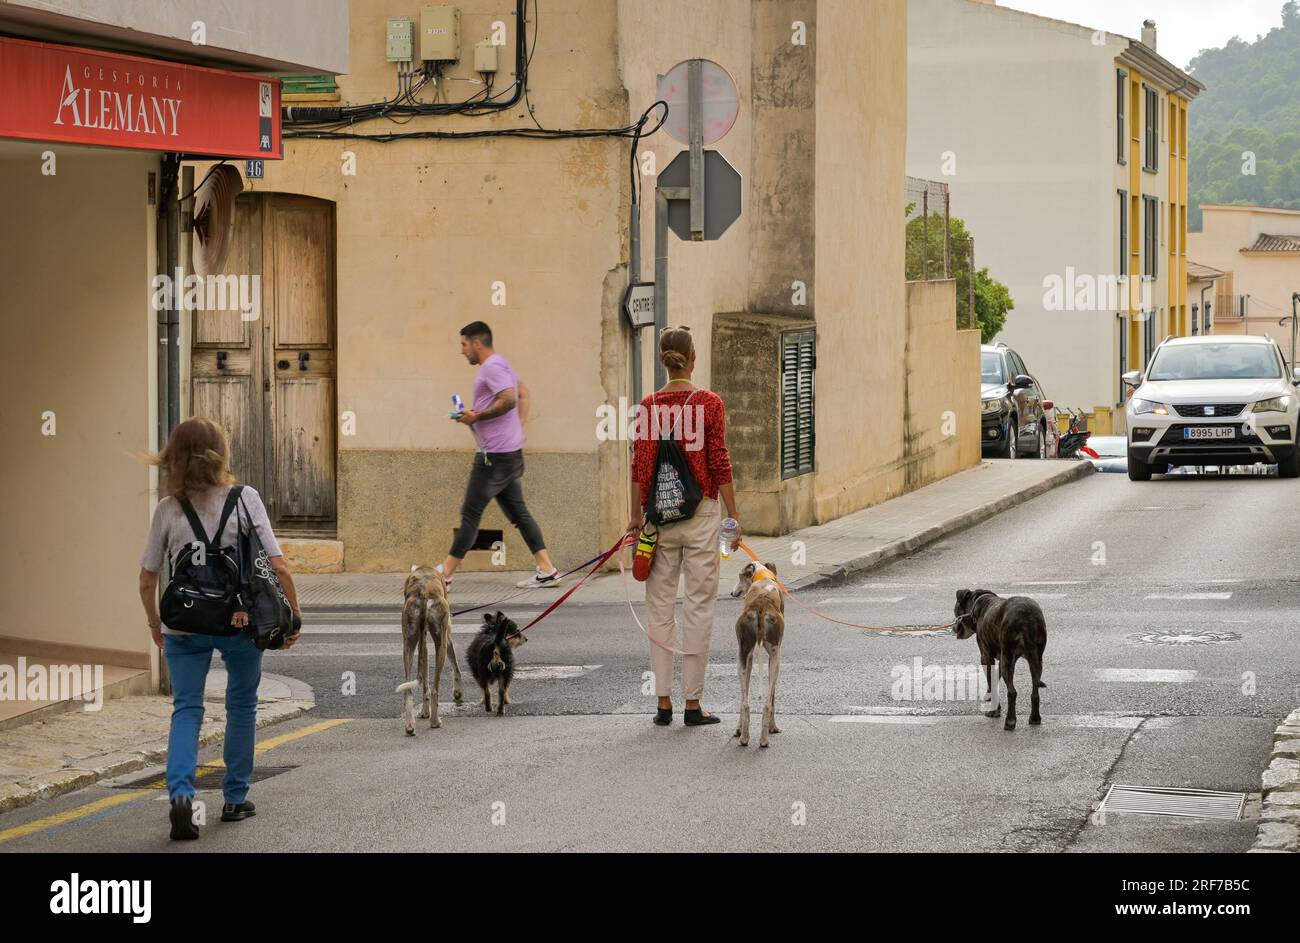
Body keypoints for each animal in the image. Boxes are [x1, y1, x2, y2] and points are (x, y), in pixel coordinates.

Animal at [956, 585, 1045, 733]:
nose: (953, 626)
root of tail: (1026, 617)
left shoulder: (986, 657)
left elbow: (991, 681)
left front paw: (995, 710)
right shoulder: (1006, 660)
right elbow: (994, 678)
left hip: (1008, 657)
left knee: (1012, 692)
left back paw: (1010, 722)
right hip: (1036, 659)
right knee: (1035, 690)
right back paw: (1035, 718)